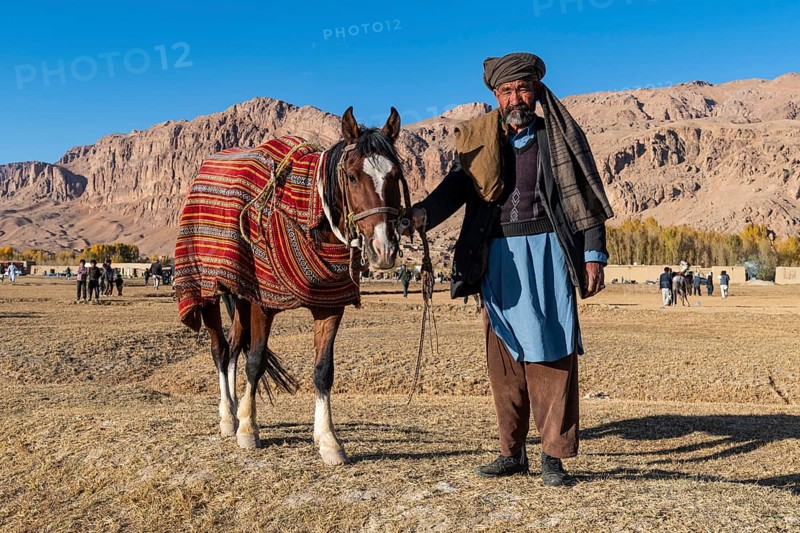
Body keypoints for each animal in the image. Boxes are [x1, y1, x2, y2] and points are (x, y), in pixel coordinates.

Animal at [174, 108, 406, 465]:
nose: (384, 250)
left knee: (234, 346)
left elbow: (323, 370)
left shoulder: (329, 305)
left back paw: (235, 411)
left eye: (395, 175)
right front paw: (249, 429)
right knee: (221, 349)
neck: (305, 213)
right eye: (353, 176)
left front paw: (328, 440)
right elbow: (255, 361)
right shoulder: (263, 302)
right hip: (210, 289)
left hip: (240, 294)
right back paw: (228, 416)